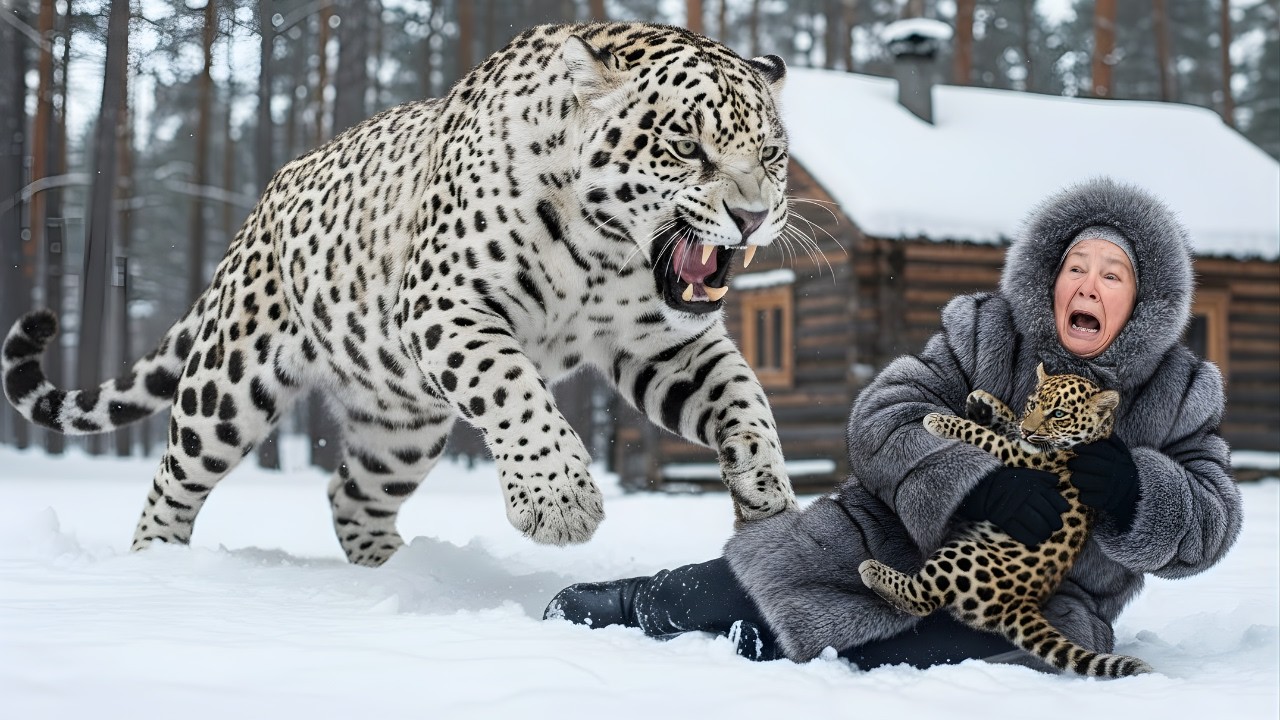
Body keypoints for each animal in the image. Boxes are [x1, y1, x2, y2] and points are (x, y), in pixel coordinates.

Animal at [2, 22, 800, 567]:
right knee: (173, 477)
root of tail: (260, 207)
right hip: (227, 387)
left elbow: (745, 400)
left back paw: (402, 576)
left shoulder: (664, 344)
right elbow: (515, 390)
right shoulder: (447, 303)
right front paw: (560, 502)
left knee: (349, 495)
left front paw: (769, 497)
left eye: (771, 154)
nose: (754, 216)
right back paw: (158, 567)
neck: (604, 252)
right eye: (686, 147)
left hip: (401, 428)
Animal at [857, 363, 1153, 677]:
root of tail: (1021, 603)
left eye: (1058, 414)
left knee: (924, 599)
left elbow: (983, 435)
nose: (1029, 430)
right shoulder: (1021, 442)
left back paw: (873, 570)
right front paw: (984, 402)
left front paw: (940, 421)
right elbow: (1008, 424)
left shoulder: (1022, 457)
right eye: (1033, 404)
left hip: (964, 557)